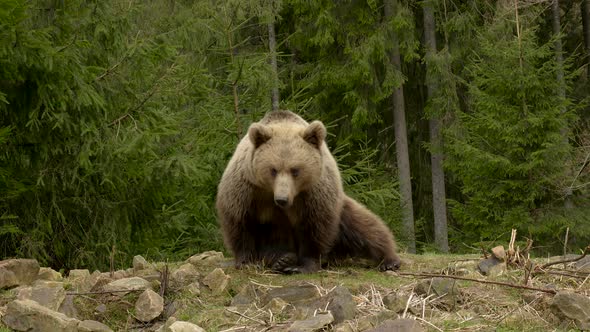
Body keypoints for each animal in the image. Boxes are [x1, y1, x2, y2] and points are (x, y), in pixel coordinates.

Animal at [216, 110, 402, 274]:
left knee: (364, 227)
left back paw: (389, 260)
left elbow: (315, 226)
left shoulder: (314, 193)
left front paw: (302, 266)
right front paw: (248, 262)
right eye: (273, 170)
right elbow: (240, 221)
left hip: (342, 209)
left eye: (295, 170)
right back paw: (281, 259)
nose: (282, 199)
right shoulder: (247, 189)